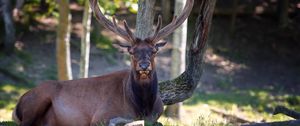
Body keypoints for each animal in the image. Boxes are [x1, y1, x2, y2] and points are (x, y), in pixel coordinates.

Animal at [11, 0, 195, 125]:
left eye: (154, 51)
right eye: (132, 52)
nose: (144, 65)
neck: (142, 106)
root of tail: (18, 103)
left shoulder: (157, 114)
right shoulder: (100, 116)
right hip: (38, 99)